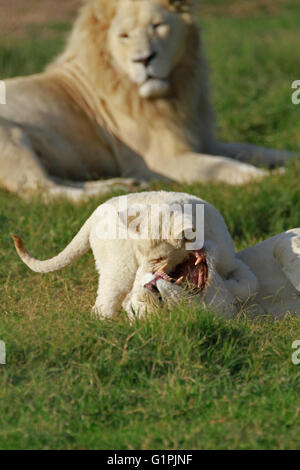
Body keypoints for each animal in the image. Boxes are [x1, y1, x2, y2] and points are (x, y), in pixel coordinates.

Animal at [0, 0, 296, 200]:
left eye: (158, 25)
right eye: (124, 36)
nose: (144, 59)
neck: (175, 93)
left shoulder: (203, 139)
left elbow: (253, 149)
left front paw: (292, 161)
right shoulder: (160, 161)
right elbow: (224, 166)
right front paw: (270, 177)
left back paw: (120, 184)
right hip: (14, 140)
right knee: (44, 191)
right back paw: (110, 191)